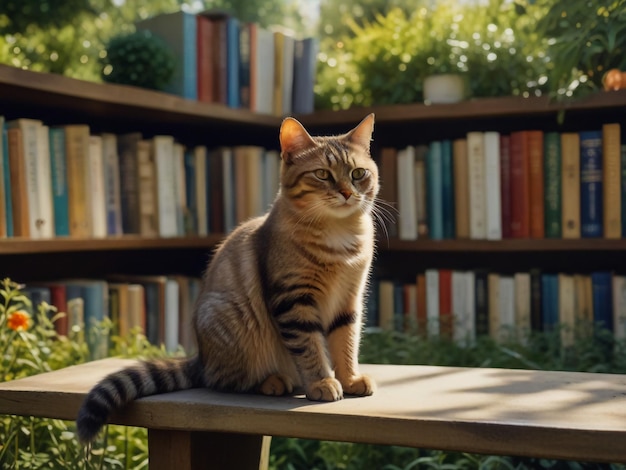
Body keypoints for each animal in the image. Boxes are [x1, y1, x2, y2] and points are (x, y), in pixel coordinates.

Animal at [78, 112, 380, 442]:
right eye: (323, 174)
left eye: (358, 173)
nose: (347, 193)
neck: (339, 236)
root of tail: (201, 358)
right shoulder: (294, 300)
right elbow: (310, 347)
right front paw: (321, 383)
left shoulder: (350, 300)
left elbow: (345, 343)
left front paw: (350, 379)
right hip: (234, 324)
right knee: (224, 380)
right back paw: (273, 382)